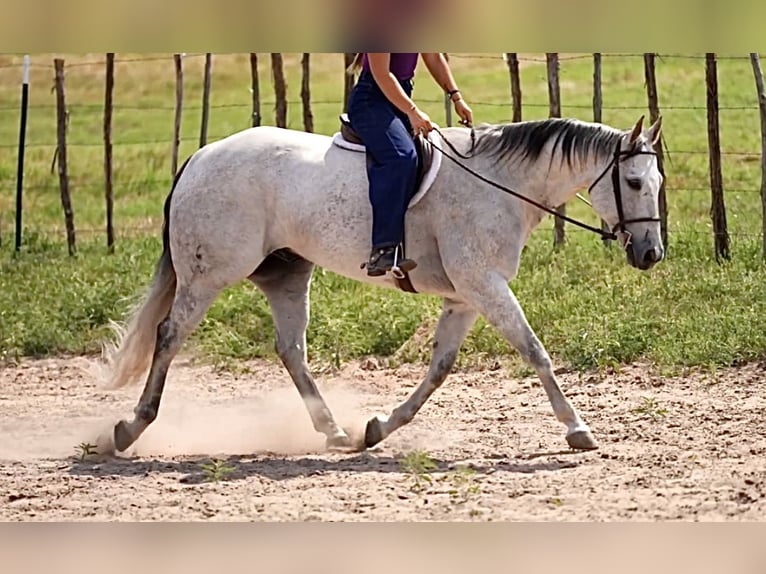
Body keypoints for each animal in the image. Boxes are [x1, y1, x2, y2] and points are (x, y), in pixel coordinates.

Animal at [99, 112, 664, 456]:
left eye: (658, 183)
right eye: (634, 182)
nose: (651, 254)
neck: (501, 184)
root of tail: (200, 156)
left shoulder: (465, 297)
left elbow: (439, 369)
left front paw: (380, 427)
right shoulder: (484, 284)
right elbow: (536, 352)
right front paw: (577, 429)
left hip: (286, 274)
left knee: (291, 350)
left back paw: (334, 430)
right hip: (209, 274)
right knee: (169, 335)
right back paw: (130, 427)